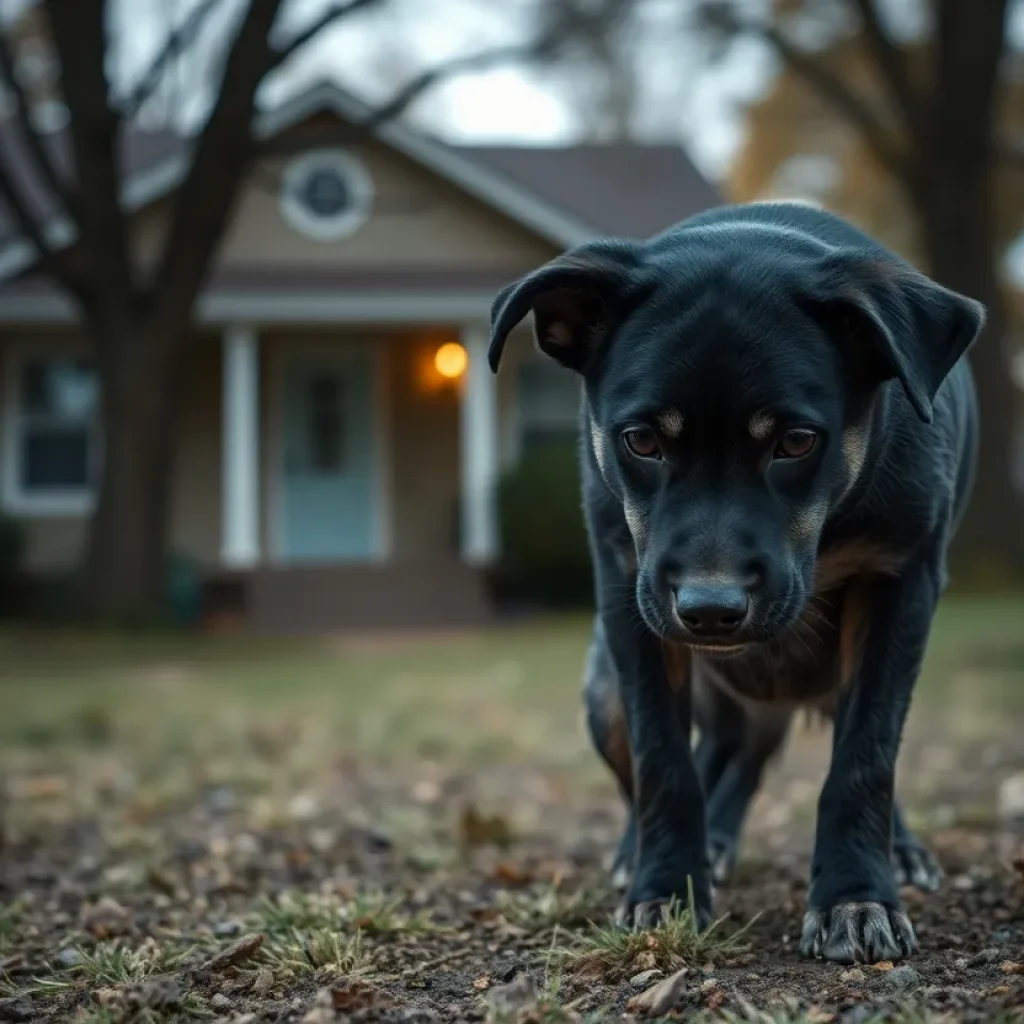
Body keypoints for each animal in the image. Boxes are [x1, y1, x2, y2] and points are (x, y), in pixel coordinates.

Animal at [487, 201, 983, 966]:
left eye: (796, 441)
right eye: (641, 440)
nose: (711, 610)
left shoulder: (903, 582)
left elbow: (866, 759)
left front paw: (855, 897)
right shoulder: (627, 590)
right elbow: (663, 762)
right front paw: (666, 890)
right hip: (606, 692)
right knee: (706, 755)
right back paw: (667, 851)